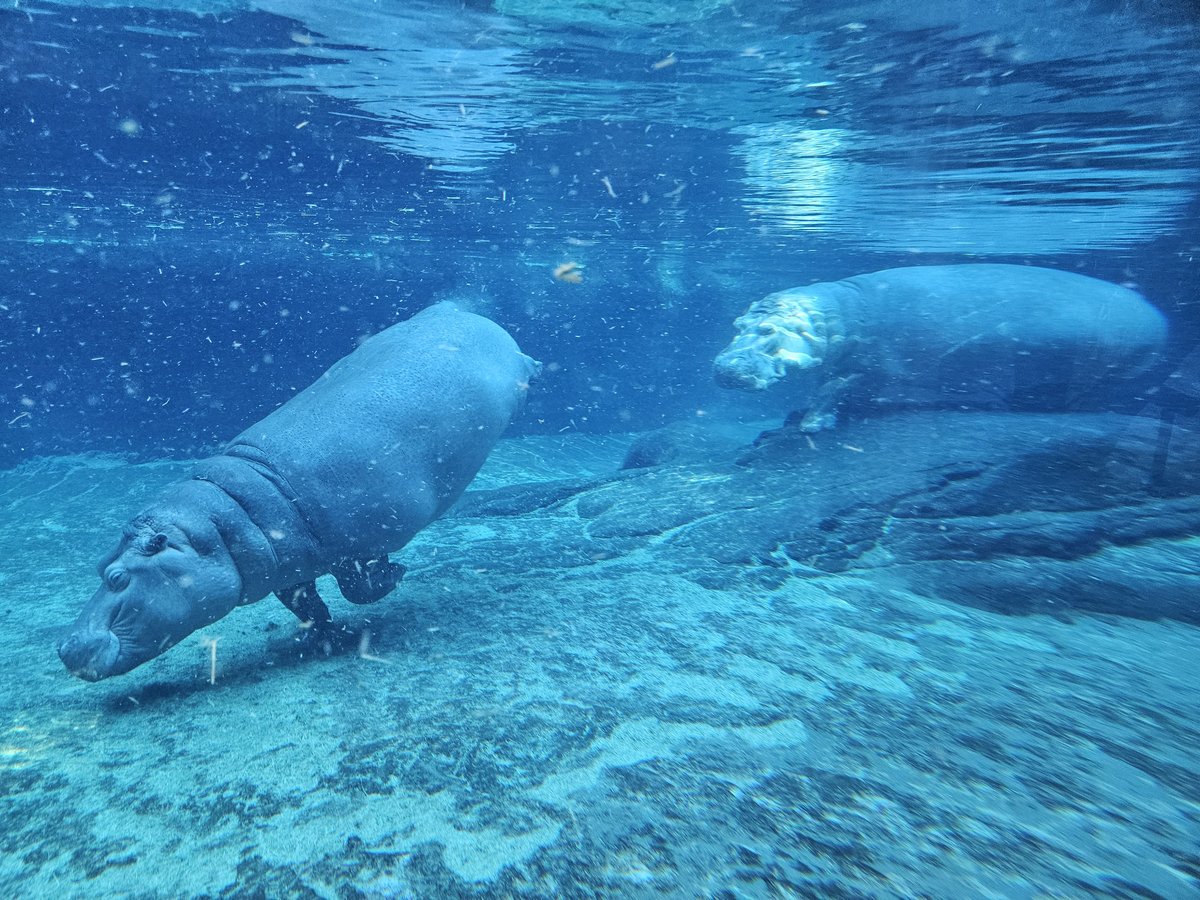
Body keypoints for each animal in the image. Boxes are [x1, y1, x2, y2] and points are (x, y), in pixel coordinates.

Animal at [58, 302, 540, 681]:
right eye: (99, 565)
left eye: (117, 578)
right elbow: (308, 605)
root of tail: (458, 310)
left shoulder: (363, 539)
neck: (230, 515)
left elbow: (359, 586)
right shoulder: (288, 569)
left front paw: (397, 574)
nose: (64, 648)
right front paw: (324, 638)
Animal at [714, 264, 1168, 431]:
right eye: (736, 325)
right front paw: (796, 416)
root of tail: (1159, 316)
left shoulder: (869, 364)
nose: (724, 368)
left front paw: (811, 424)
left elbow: (834, 388)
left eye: (768, 330)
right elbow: (821, 384)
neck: (833, 316)